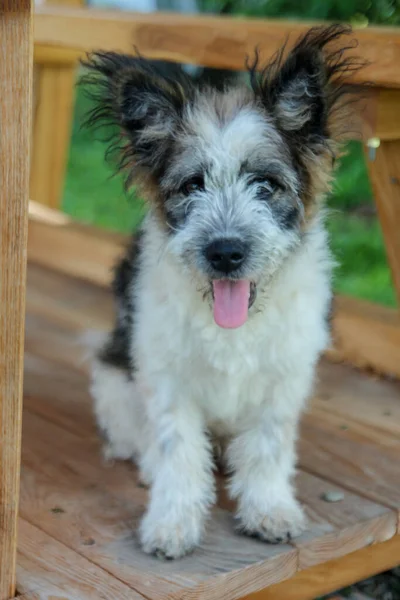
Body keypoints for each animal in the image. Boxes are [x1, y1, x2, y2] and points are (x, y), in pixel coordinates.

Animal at [85, 23, 362, 556]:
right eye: (192, 185)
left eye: (265, 184)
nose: (226, 252)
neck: (234, 324)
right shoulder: (168, 381)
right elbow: (178, 453)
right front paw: (173, 522)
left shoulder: (283, 380)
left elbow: (268, 450)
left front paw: (269, 509)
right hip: (115, 381)